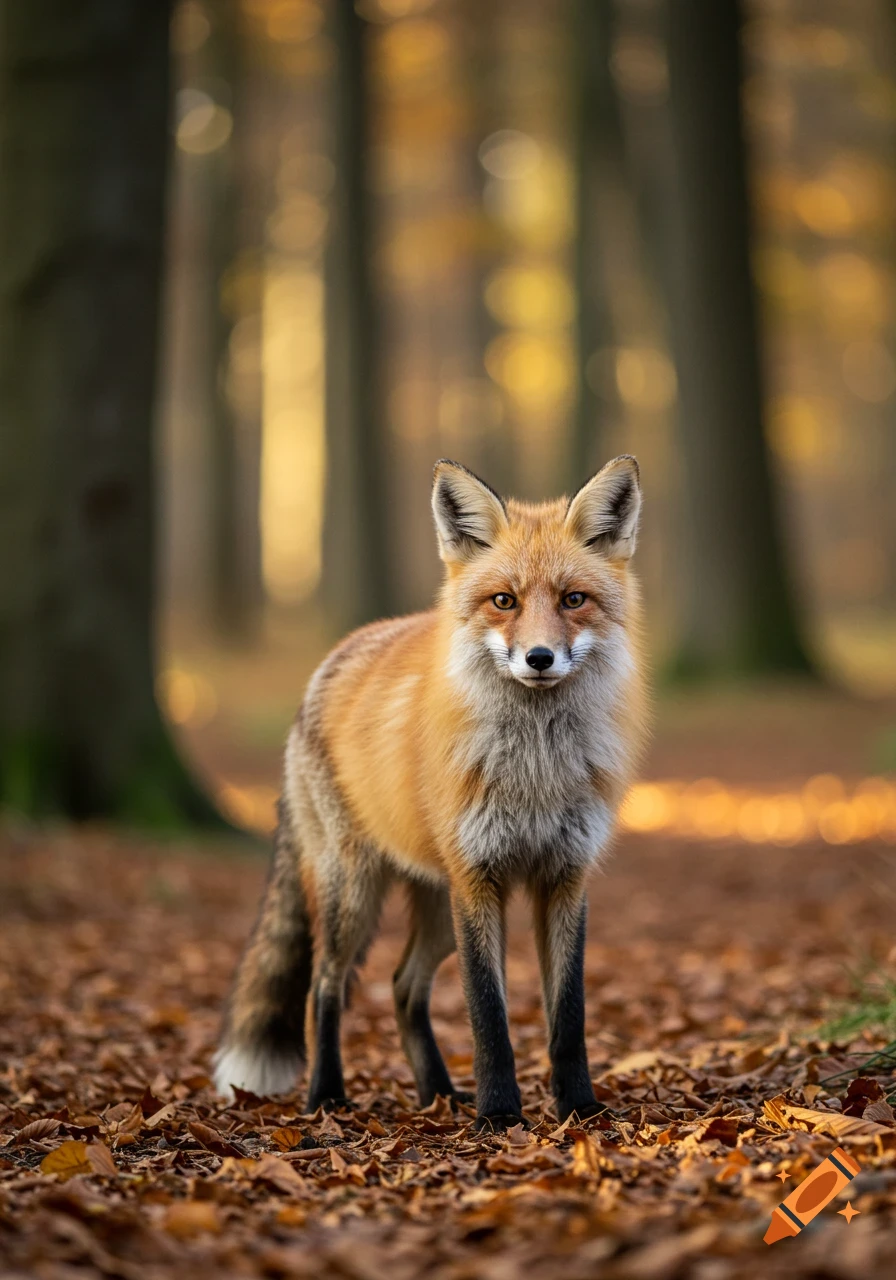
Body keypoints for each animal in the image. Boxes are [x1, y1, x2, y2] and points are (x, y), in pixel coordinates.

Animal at [214, 455, 649, 1131]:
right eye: (504, 601)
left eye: (573, 600)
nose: (539, 657)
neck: (534, 772)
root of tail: (331, 660)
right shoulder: (478, 880)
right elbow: (488, 1014)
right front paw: (500, 1116)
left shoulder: (564, 876)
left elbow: (568, 1015)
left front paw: (578, 1109)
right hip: (355, 893)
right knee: (323, 988)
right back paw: (327, 1098)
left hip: (436, 907)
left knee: (401, 985)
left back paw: (437, 1093)